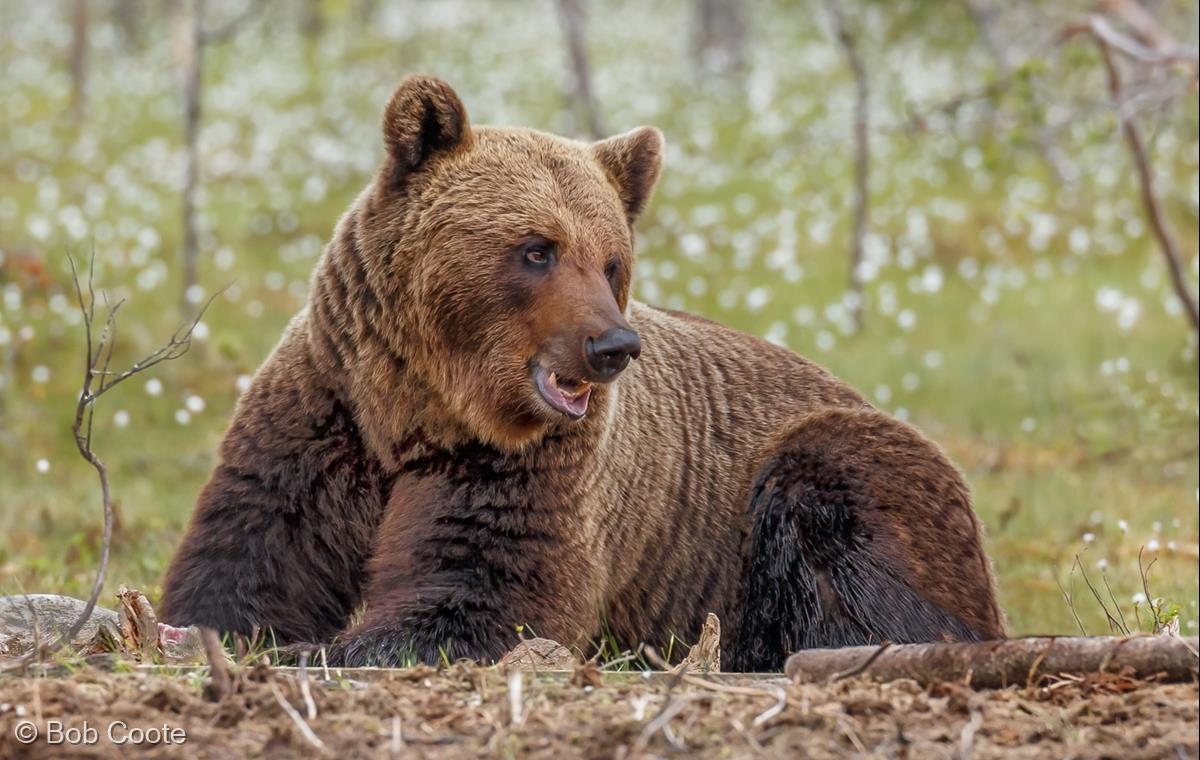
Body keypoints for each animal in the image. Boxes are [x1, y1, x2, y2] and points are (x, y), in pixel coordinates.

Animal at [159, 75, 1004, 671]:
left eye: (611, 260)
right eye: (537, 249)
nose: (611, 346)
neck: (418, 405)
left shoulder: (533, 460)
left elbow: (485, 592)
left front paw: (333, 647)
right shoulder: (322, 411)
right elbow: (250, 555)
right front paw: (238, 630)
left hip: (829, 480)